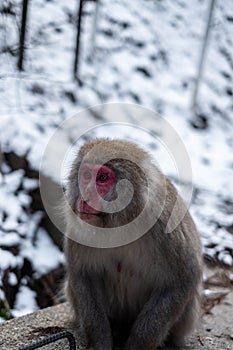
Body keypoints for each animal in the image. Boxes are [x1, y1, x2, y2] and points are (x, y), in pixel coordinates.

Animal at [64, 139, 202, 350]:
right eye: (86, 176)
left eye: (102, 178)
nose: (85, 197)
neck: (119, 222)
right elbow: (83, 276)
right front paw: (100, 342)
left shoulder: (164, 227)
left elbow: (182, 280)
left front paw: (137, 345)